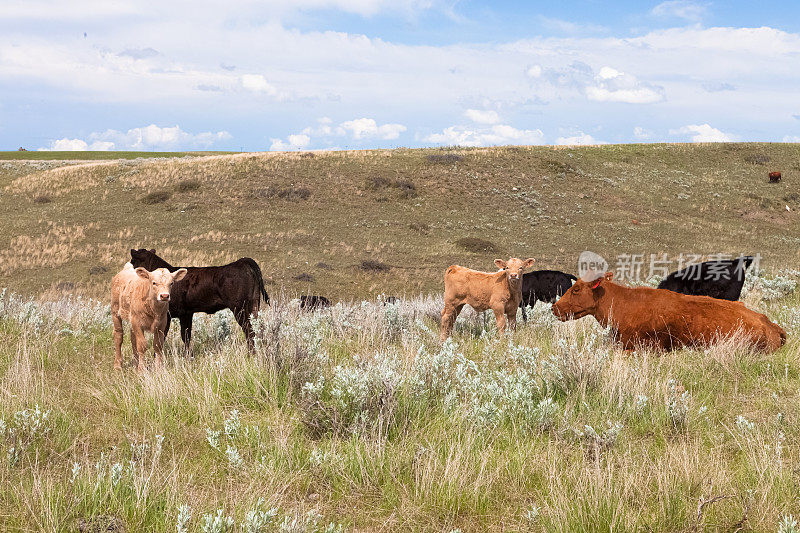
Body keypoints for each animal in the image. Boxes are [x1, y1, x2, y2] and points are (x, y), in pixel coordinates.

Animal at [129, 248, 268, 354]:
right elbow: (186, 336)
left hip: (239, 308)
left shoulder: (168, 315)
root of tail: (242, 262)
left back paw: (251, 354)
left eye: (132, 261)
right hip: (254, 305)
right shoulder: (186, 313)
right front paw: (188, 357)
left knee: (249, 330)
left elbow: (161, 337)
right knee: (257, 329)